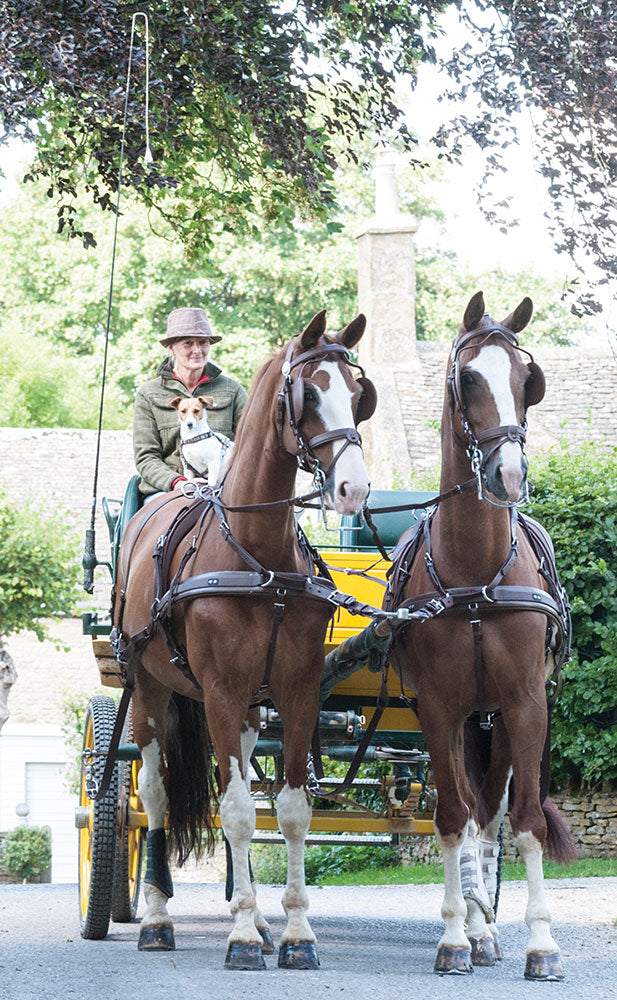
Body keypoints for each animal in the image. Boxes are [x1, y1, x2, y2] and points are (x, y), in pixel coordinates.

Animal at [112, 310, 375, 969]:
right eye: (308, 395)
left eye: (358, 396)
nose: (354, 490)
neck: (259, 557)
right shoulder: (222, 692)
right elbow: (231, 811)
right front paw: (239, 939)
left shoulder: (296, 690)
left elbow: (290, 810)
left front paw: (294, 932)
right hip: (149, 687)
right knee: (154, 795)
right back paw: (158, 918)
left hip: (253, 709)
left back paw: (251, 915)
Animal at [387, 292, 575, 980]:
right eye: (468, 379)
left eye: (526, 381)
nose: (509, 475)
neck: (474, 571)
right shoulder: (439, 708)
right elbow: (449, 817)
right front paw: (453, 936)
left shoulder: (526, 703)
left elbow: (524, 821)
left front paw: (542, 943)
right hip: (466, 719)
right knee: (468, 811)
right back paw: (472, 924)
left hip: (492, 719)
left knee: (490, 810)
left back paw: (488, 924)